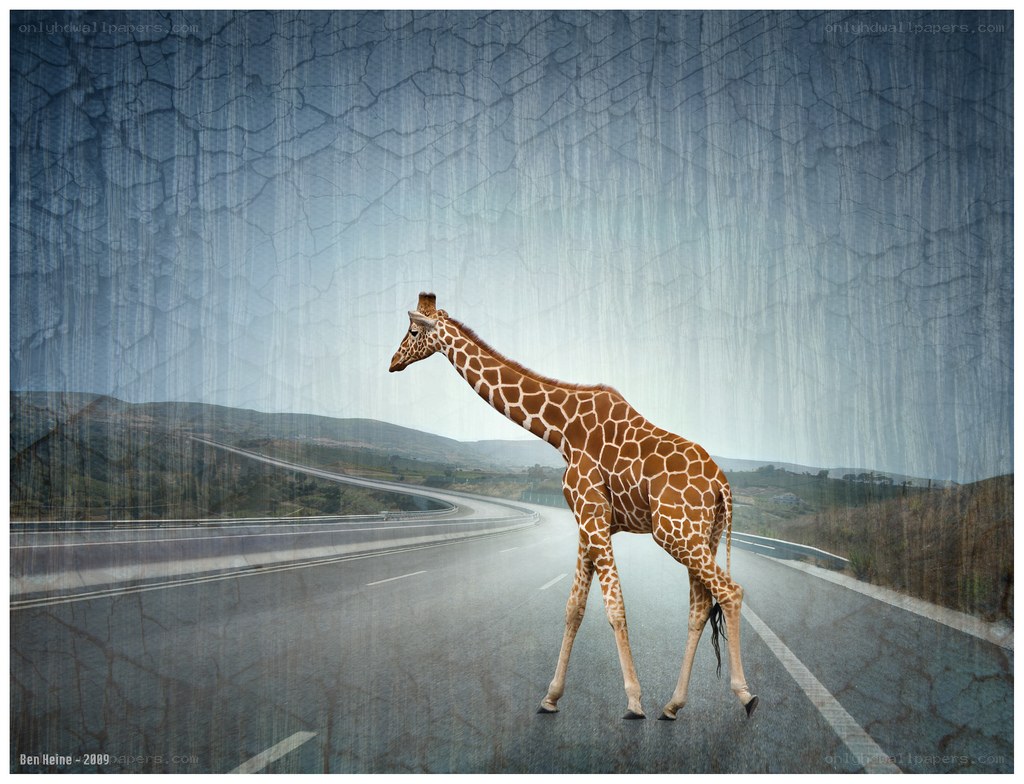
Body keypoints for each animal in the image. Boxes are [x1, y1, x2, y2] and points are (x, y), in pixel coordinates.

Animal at [389, 293, 758, 720]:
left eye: (413, 331)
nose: (393, 362)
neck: (562, 429)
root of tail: (722, 485)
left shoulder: (592, 513)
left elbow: (614, 608)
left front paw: (633, 701)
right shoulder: (587, 520)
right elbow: (574, 608)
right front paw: (550, 697)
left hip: (675, 531)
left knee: (730, 592)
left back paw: (745, 696)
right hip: (703, 534)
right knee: (699, 608)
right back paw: (672, 704)